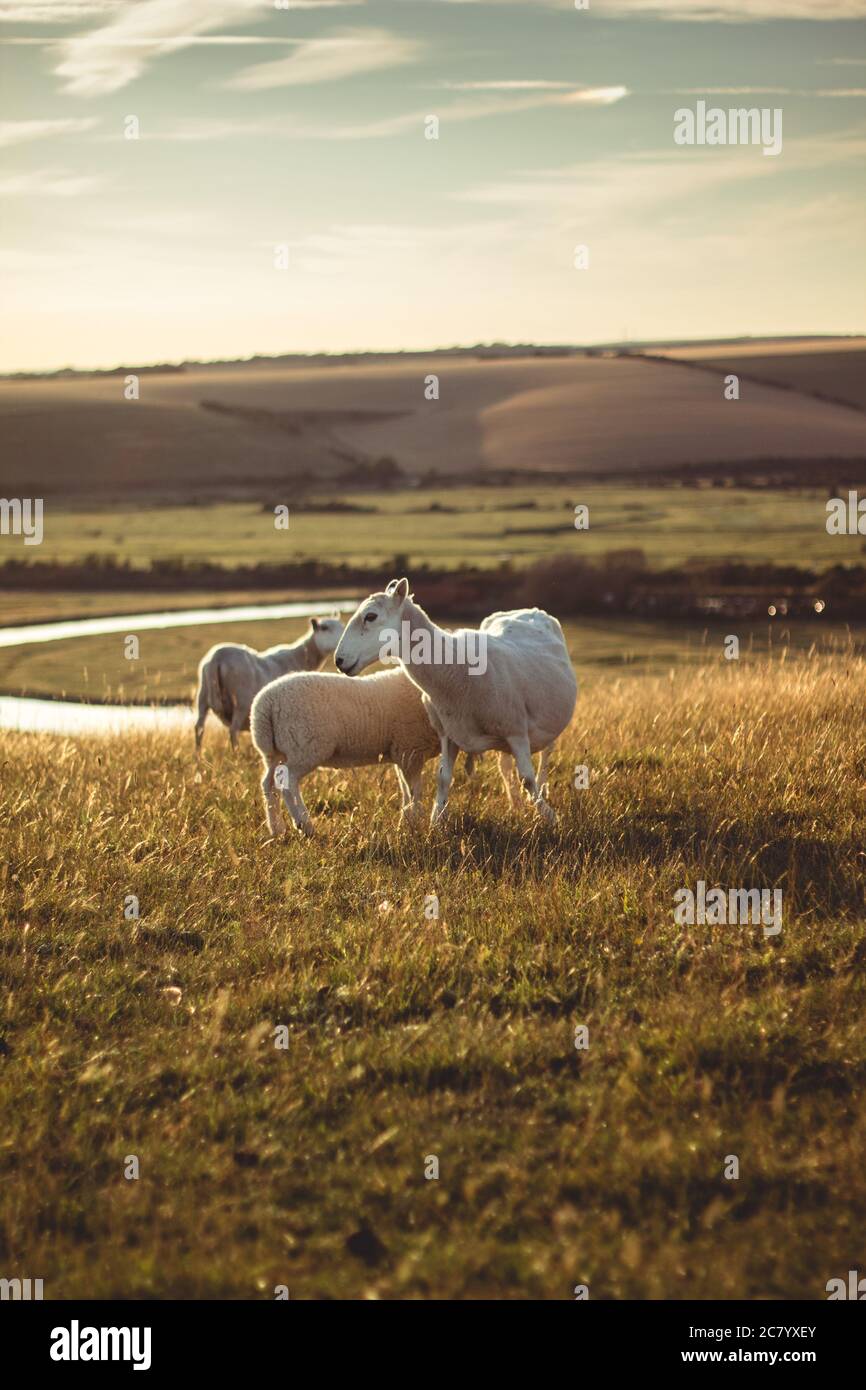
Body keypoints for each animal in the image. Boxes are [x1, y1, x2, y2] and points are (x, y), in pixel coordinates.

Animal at [194, 617, 343, 756]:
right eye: (324, 628)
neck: (302, 657)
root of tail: (217, 657)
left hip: (203, 696)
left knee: (199, 728)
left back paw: (198, 758)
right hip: (241, 701)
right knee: (233, 731)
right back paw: (236, 756)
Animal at [248, 669, 439, 839]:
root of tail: (265, 704)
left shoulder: (402, 754)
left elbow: (406, 791)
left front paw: (406, 824)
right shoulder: (411, 750)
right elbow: (415, 792)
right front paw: (415, 825)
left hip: (274, 753)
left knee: (268, 783)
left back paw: (276, 828)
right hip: (303, 748)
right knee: (286, 781)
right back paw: (305, 825)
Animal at [335, 578, 578, 822]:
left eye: (371, 616)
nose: (338, 660)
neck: (456, 670)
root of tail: (528, 610)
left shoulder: (516, 731)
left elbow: (527, 778)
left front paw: (549, 816)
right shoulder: (449, 733)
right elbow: (442, 778)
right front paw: (435, 820)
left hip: (547, 722)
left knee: (545, 758)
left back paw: (541, 791)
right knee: (505, 766)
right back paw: (515, 803)